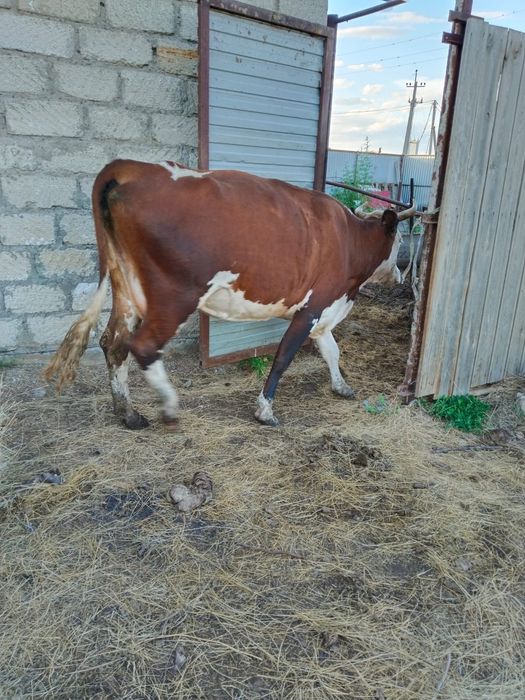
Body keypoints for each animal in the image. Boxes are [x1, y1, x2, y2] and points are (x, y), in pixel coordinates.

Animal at [45, 160, 414, 428]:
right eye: (400, 240)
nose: (401, 274)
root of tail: (130, 167)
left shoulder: (326, 309)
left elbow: (331, 351)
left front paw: (341, 386)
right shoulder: (313, 306)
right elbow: (284, 357)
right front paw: (265, 410)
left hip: (126, 287)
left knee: (114, 343)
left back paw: (129, 413)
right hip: (175, 294)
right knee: (144, 346)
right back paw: (169, 406)